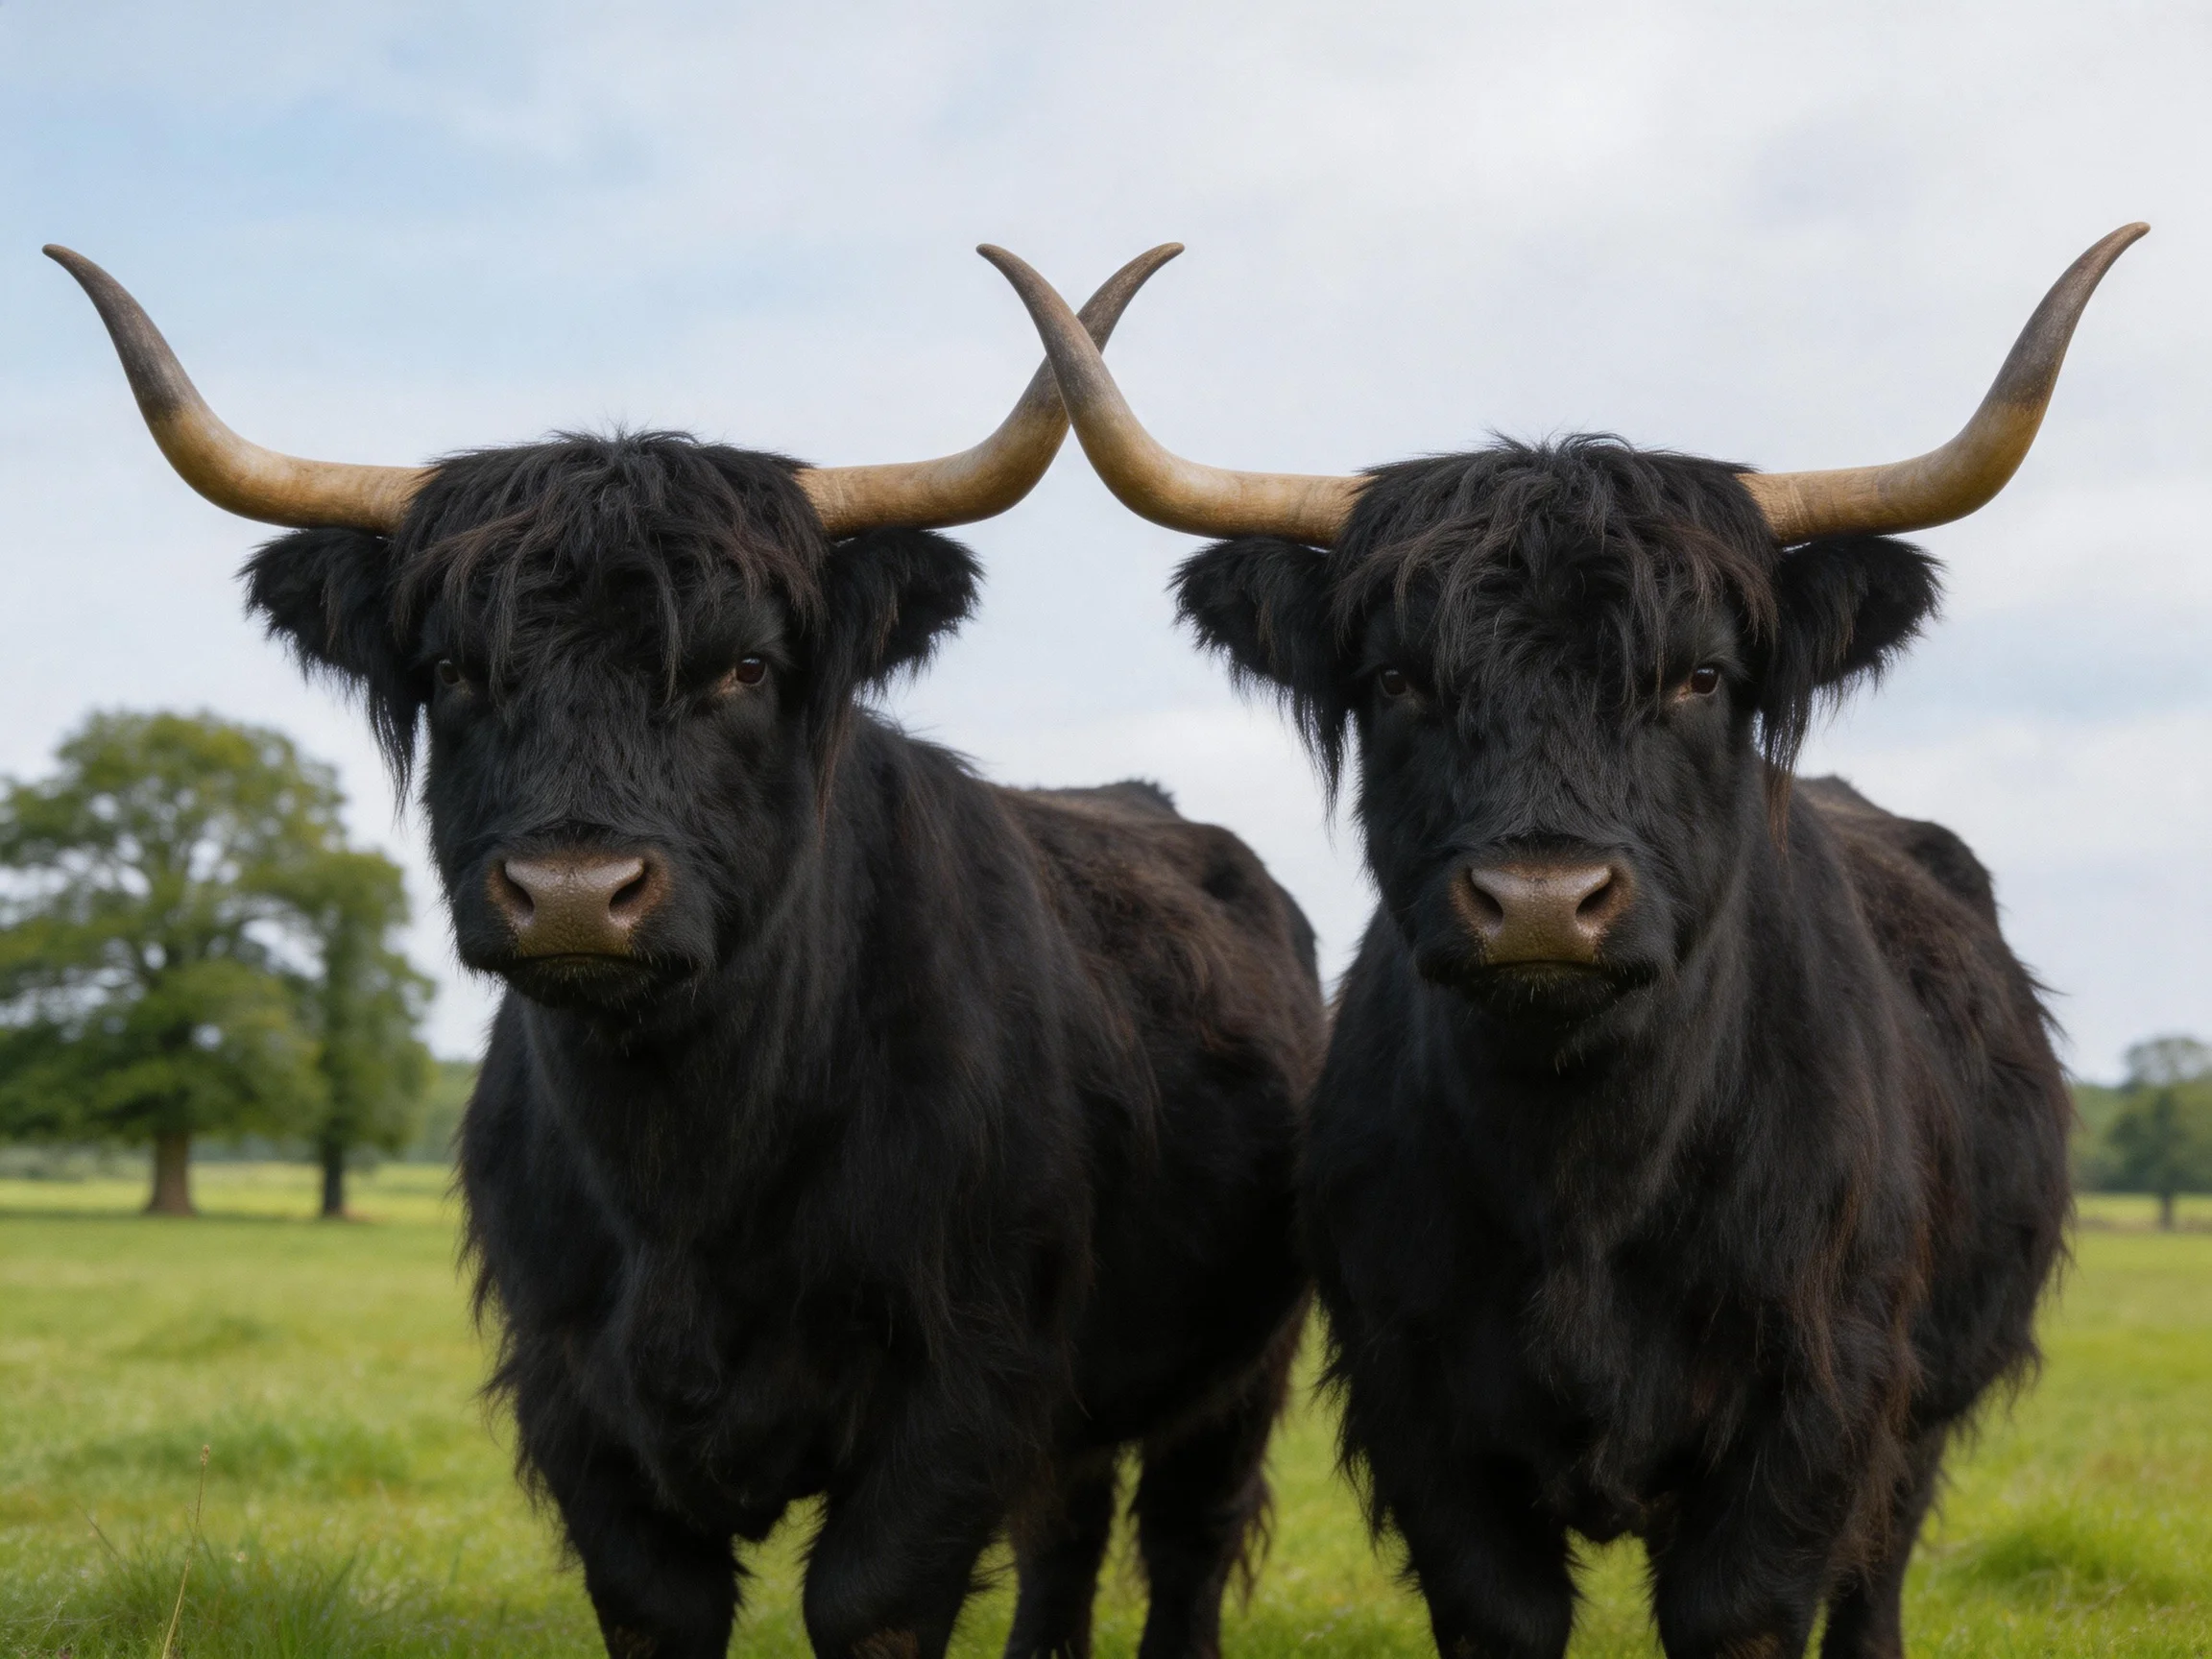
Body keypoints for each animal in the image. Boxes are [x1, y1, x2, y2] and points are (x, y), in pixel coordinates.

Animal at [53, 244, 1325, 1659]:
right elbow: (658, 1603)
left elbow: (873, 1602)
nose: (571, 895)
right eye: (455, 671)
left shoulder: (965, 1390)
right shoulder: (577, 1406)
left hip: (1237, 1366)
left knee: (1187, 1536)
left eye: (746, 667)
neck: (686, 1169)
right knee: (1072, 1525)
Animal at [984, 225, 2145, 1659]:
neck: (1585, 1179)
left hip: (1921, 1410)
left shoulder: (1814, 1413)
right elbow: (1501, 1610)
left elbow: (1751, 1608)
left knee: (1878, 1569)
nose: (1541, 902)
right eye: (1398, 680)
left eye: (1699, 677)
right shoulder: (1427, 1419)